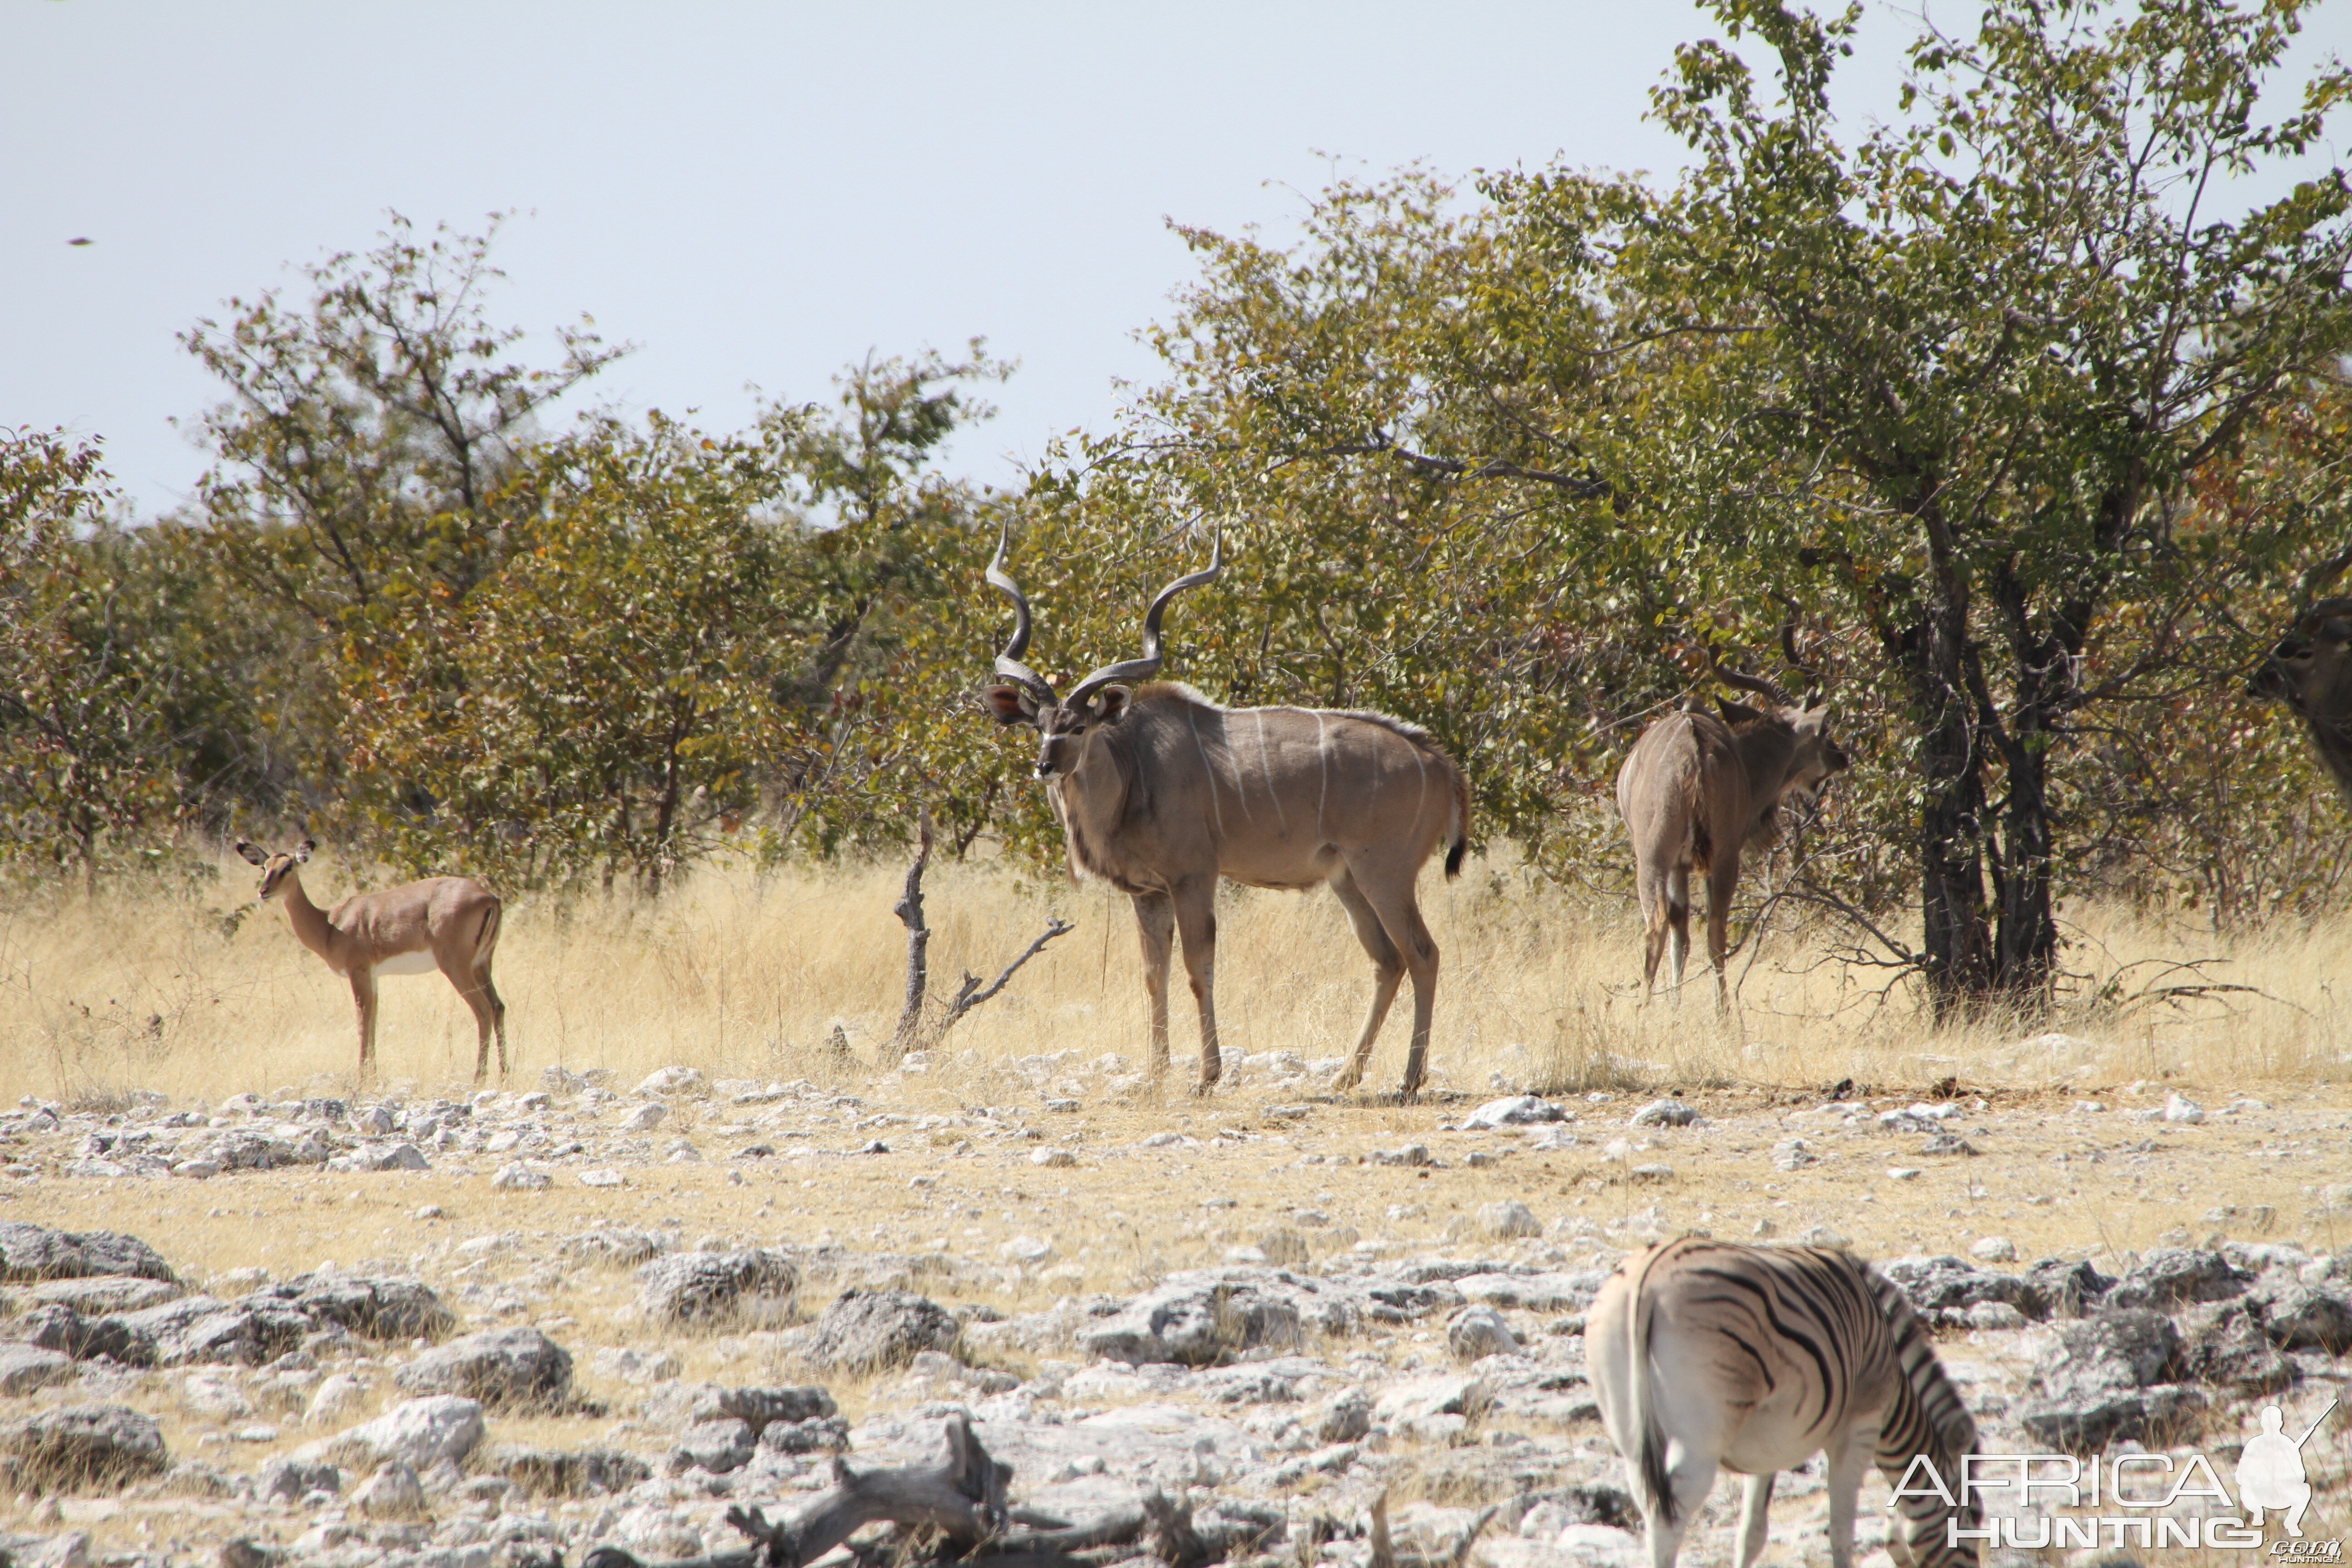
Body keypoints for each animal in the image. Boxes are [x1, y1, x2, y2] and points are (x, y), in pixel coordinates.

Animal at [978, 534, 1467, 1100]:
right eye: (1038, 726)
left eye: (1080, 727)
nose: (1046, 766)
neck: (1134, 770)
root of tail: (1440, 764)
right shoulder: (1148, 893)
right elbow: (1154, 974)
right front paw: (1155, 1075)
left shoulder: (1194, 876)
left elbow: (1198, 968)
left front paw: (1206, 1076)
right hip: (1347, 878)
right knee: (1387, 960)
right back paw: (1347, 1074)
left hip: (1386, 873)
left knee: (1422, 953)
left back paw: (1409, 1081)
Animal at [1590, 1241, 1975, 1568]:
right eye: (1973, 1520)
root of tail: (1650, 1276)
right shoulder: (1860, 1428)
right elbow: (1841, 1529)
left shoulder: (1765, 1451)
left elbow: (1752, 1534)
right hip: (1699, 1440)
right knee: (1667, 1519)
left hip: (1630, 1433)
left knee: (1649, 1504)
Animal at [1627, 663, 1844, 1006]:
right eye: (1823, 733)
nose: (1841, 757)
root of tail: (1693, 752)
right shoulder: (1684, 863)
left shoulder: (1680, 863)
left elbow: (1681, 932)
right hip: (1707, 857)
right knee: (1707, 927)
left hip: (1660, 859)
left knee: (1670, 925)